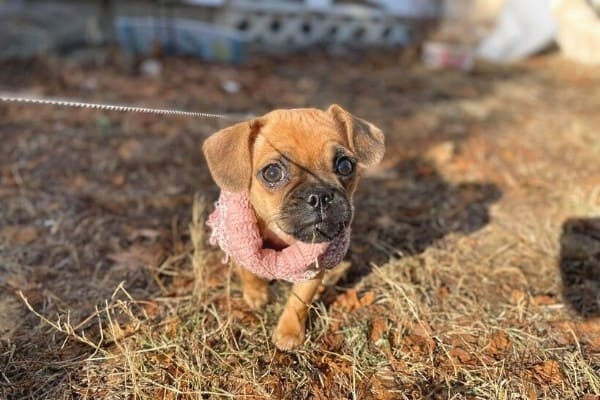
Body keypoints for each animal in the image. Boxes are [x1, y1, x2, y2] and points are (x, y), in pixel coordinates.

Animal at [204, 104, 384, 350]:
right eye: (272, 173)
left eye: (346, 165)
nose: (320, 196)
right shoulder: (238, 241)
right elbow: (247, 270)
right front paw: (257, 295)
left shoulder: (312, 268)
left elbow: (299, 301)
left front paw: (289, 332)